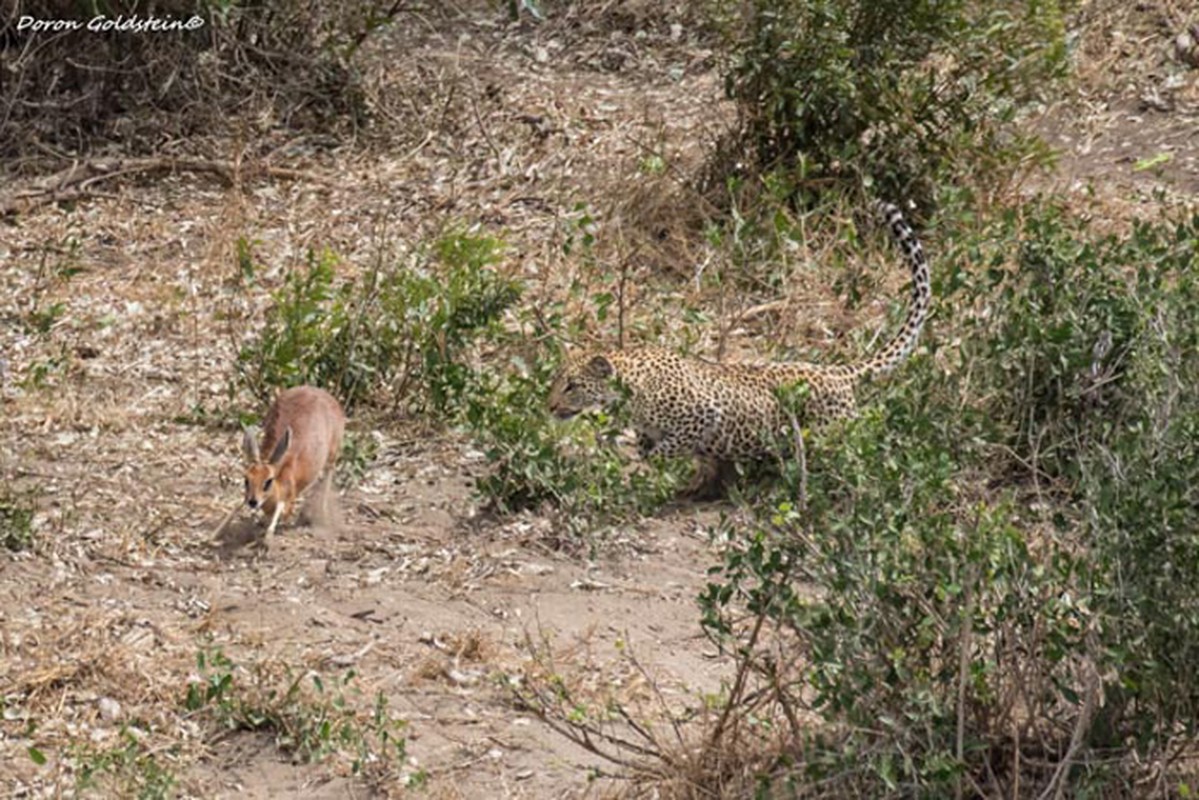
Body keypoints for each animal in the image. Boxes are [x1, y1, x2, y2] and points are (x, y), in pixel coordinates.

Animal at [238, 386, 342, 542]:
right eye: (246, 479)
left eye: (269, 481)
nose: (252, 501)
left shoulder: (288, 498)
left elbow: (281, 511)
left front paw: (268, 535)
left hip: (332, 454)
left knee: (329, 472)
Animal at [549, 200, 930, 496]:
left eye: (572, 385)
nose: (550, 406)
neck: (631, 390)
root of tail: (835, 371)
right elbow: (649, 450)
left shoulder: (702, 415)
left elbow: (666, 449)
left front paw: (662, 471)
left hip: (830, 433)